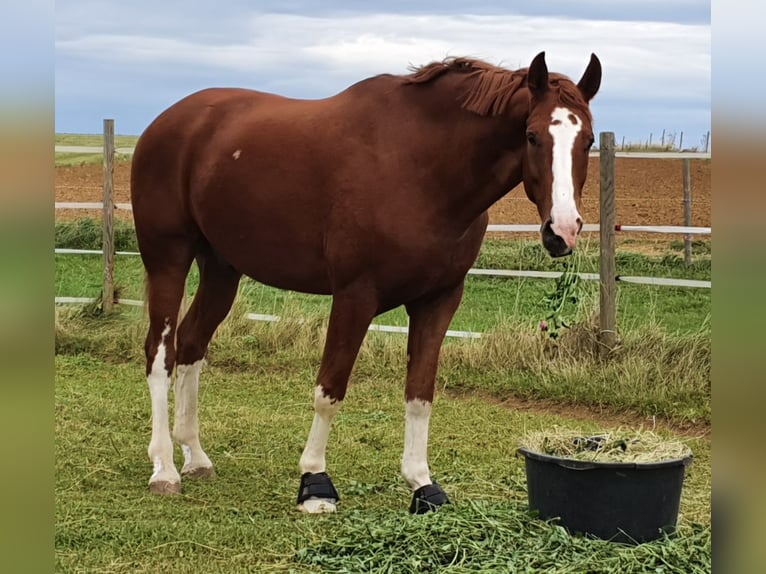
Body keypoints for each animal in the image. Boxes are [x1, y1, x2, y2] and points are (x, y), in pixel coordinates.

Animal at [130, 51, 600, 516]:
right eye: (532, 136)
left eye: (589, 140)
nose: (563, 230)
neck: (420, 168)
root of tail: (167, 122)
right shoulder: (355, 295)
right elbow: (330, 390)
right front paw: (315, 483)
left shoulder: (440, 300)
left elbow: (420, 394)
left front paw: (422, 484)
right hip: (168, 259)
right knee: (161, 354)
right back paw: (164, 468)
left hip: (222, 270)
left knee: (192, 346)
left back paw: (195, 457)